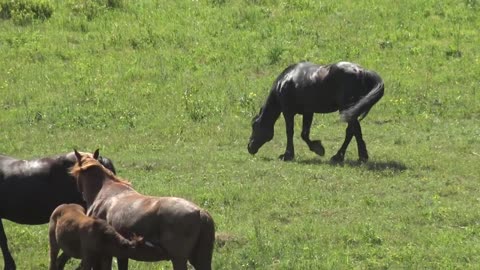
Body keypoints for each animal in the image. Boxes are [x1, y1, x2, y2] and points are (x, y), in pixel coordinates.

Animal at [70, 150, 215, 270]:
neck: (105, 190)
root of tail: (200, 212)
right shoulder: (122, 255)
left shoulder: (105, 255)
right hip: (201, 260)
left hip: (179, 259)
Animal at [249, 61, 384, 162]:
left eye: (254, 126)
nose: (249, 147)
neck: (284, 83)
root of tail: (362, 71)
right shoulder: (308, 113)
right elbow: (304, 134)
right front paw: (317, 148)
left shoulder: (288, 112)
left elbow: (290, 132)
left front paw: (287, 155)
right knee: (354, 131)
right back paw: (353, 156)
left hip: (347, 109)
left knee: (352, 131)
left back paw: (344, 156)